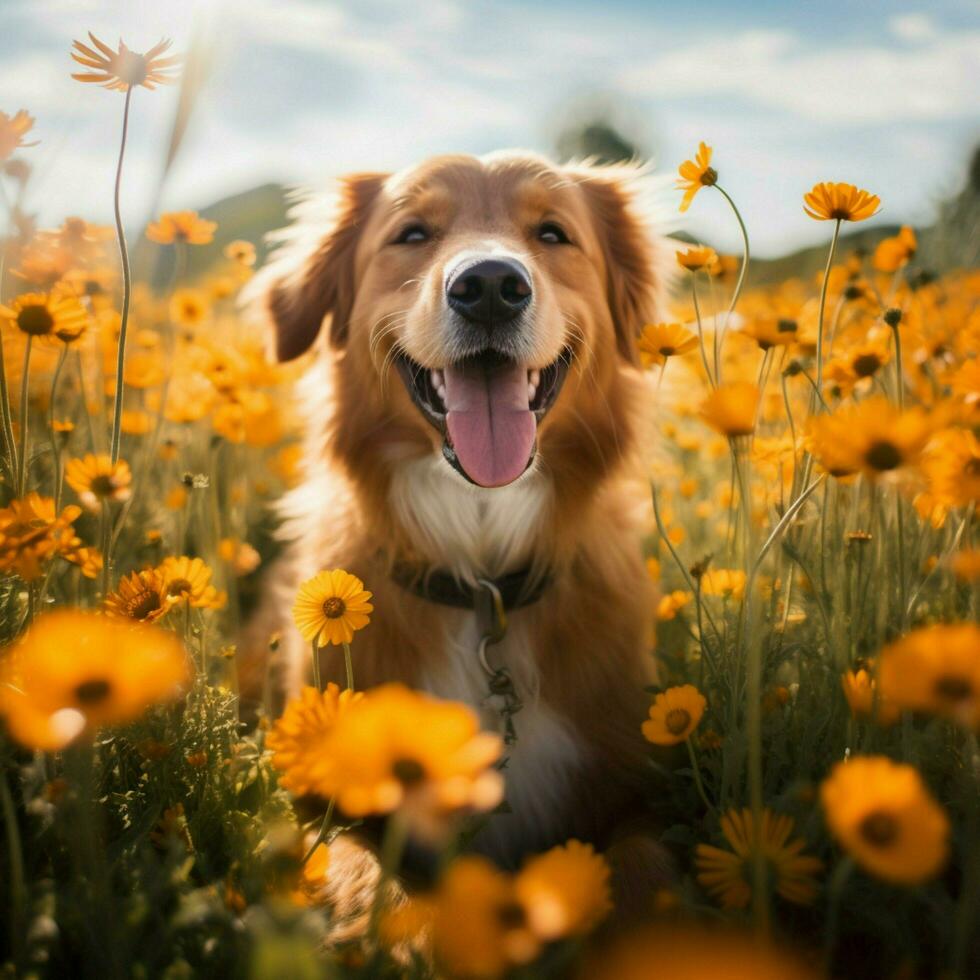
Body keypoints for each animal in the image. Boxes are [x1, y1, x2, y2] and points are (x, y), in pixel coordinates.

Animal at [245, 149, 672, 916]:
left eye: (553, 233)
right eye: (413, 234)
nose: (491, 287)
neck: (482, 582)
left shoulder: (631, 786)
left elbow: (647, 875)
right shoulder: (312, 804)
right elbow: (370, 887)